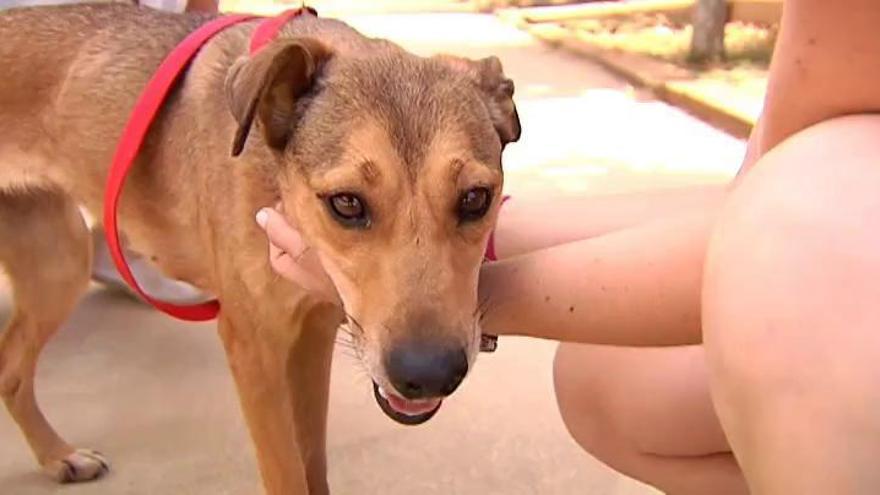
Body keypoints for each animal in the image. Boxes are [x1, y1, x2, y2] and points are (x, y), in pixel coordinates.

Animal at [0, 3, 520, 495]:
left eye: (475, 198)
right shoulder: (253, 346)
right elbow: (286, 472)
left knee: (11, 369)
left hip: (60, 264)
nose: (430, 374)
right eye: (347, 203)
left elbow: (312, 461)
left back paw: (58, 457)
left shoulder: (314, 332)